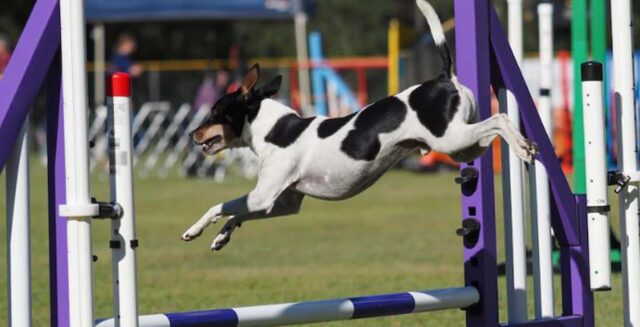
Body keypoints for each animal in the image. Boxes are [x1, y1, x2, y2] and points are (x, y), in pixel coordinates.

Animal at [181, 0, 540, 251]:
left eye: (214, 112)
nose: (191, 133)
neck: (274, 130)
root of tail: (444, 79)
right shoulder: (282, 203)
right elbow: (237, 214)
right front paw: (221, 237)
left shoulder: (262, 196)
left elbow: (220, 206)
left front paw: (194, 229)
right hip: (463, 147)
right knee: (493, 129)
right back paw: (524, 145)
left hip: (451, 140)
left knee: (500, 119)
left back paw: (524, 147)